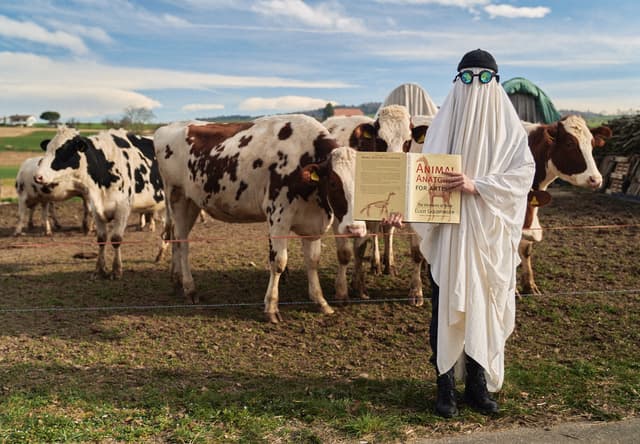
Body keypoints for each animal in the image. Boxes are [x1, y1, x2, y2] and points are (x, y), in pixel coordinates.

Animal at [34, 125, 166, 278]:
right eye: (48, 148)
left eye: (64, 150)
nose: (38, 177)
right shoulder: (96, 210)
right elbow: (101, 238)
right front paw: (100, 269)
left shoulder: (123, 209)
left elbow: (116, 239)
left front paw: (116, 270)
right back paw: (161, 255)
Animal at [152, 114, 368, 322]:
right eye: (333, 182)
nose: (355, 229)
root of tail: (167, 128)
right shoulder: (278, 215)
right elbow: (279, 262)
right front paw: (271, 307)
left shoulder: (312, 223)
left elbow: (313, 261)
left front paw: (321, 301)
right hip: (177, 197)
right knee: (182, 242)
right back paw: (190, 288)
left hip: (193, 203)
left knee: (176, 239)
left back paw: (178, 280)